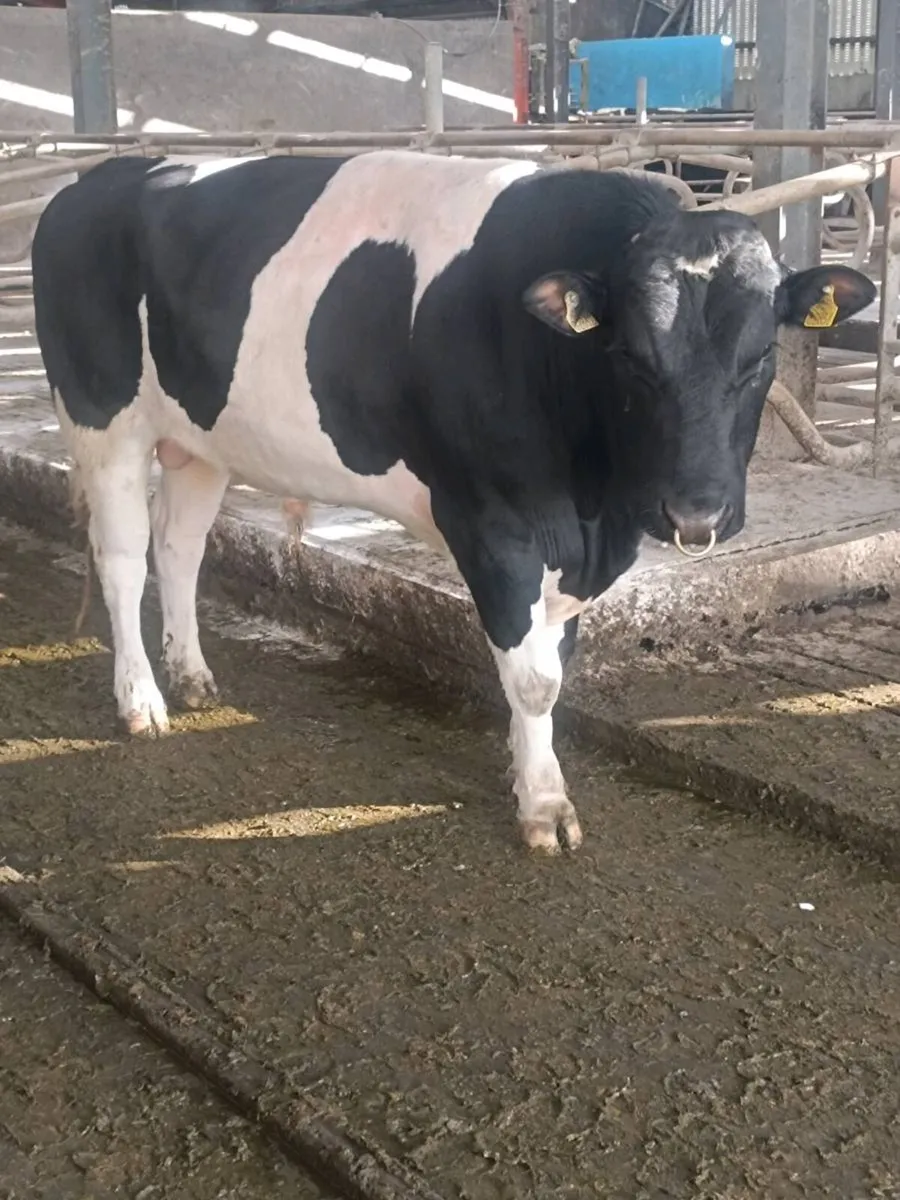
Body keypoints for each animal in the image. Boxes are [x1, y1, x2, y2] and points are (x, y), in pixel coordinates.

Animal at [31, 151, 875, 853]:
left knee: (179, 549)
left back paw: (194, 677)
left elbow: (553, 660)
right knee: (122, 561)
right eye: (631, 357)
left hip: (201, 438)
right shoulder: (491, 523)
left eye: (762, 354)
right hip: (104, 420)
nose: (694, 513)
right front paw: (543, 806)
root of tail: (96, 181)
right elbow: (532, 677)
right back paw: (142, 701)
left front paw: (524, 768)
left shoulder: (572, 545)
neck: (594, 507)